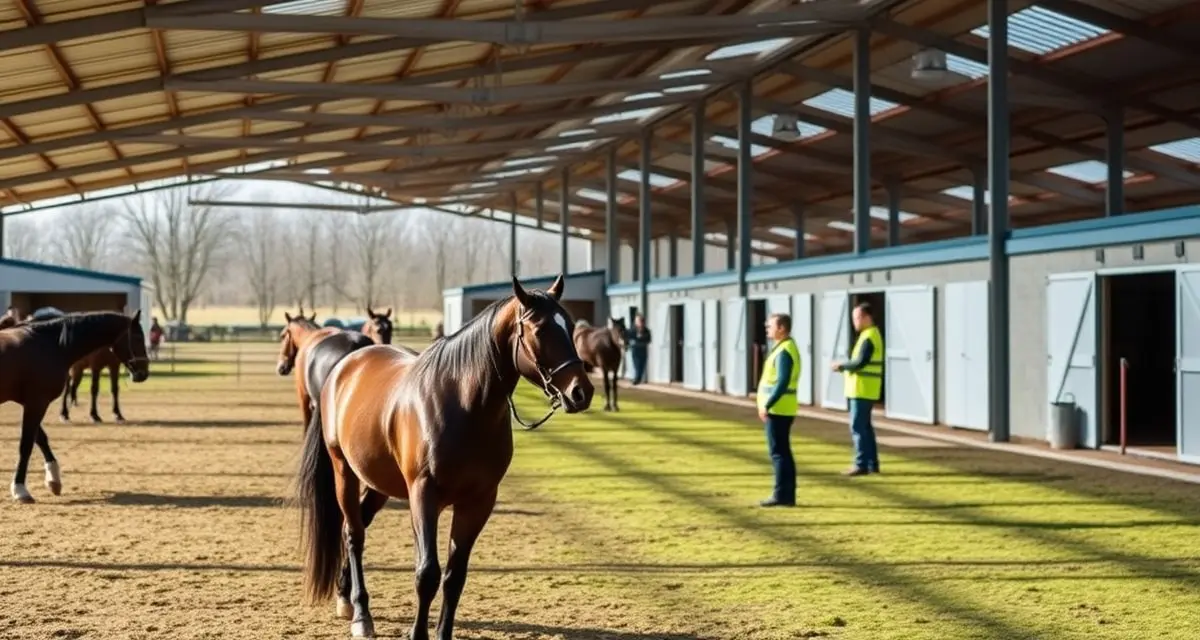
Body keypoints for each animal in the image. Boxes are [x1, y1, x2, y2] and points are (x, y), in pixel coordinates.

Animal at [0, 310, 149, 503]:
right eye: (138, 338)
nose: (144, 373)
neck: (49, 345)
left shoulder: (30, 402)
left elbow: (40, 439)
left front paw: (54, 480)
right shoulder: (37, 402)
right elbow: (26, 445)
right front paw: (20, 489)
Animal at [294, 274, 593, 639]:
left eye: (570, 326)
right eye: (539, 329)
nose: (581, 391)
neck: (462, 404)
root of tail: (345, 365)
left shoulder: (477, 502)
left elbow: (454, 576)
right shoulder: (424, 495)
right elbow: (427, 573)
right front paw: (417, 633)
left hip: (379, 483)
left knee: (359, 524)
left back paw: (344, 595)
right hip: (344, 472)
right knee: (353, 534)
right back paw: (361, 614)